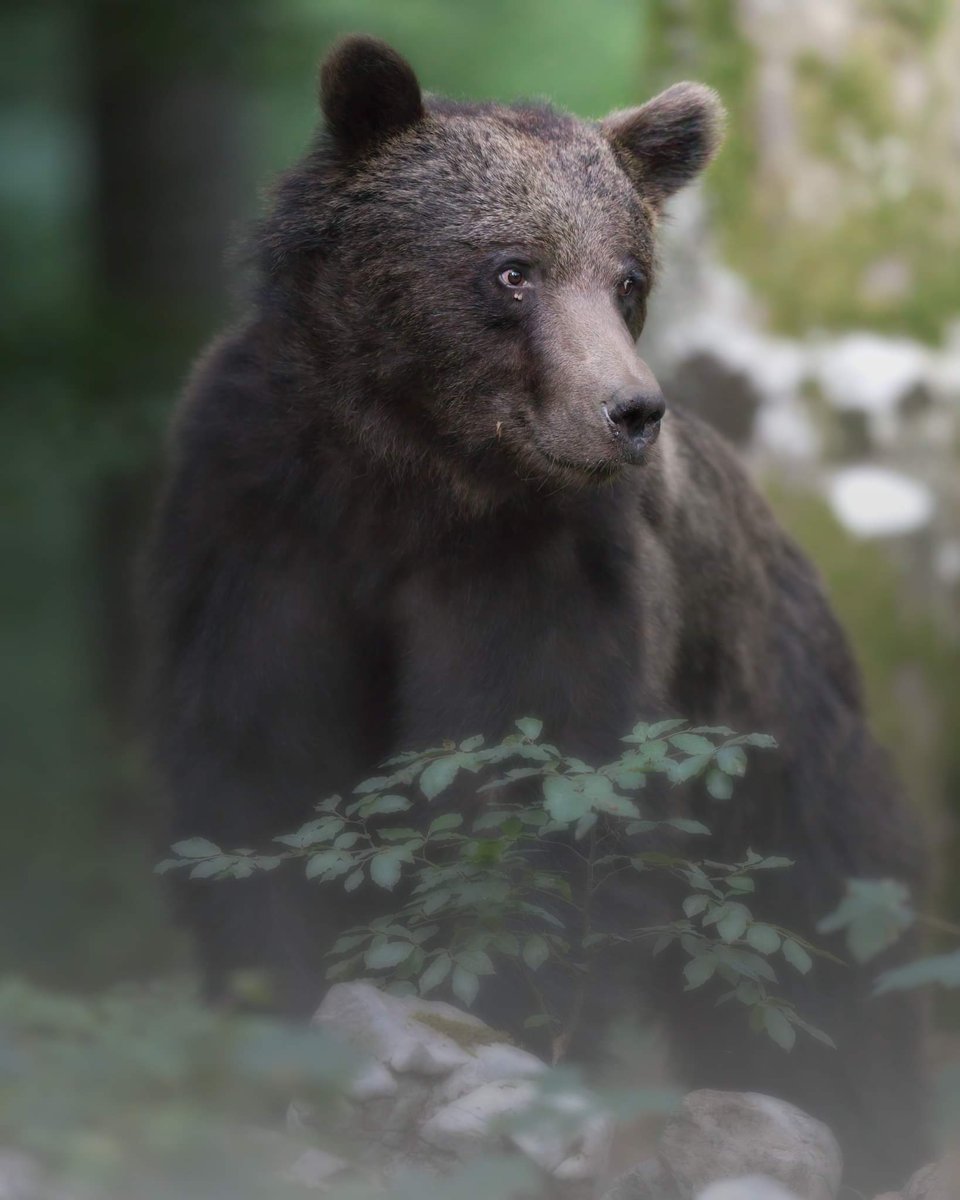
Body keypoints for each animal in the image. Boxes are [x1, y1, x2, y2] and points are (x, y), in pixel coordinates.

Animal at [148, 35, 929, 1192]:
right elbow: (259, 773)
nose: (629, 410)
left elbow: (529, 801)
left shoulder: (543, 573)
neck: (411, 474)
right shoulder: (262, 530)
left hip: (776, 747)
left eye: (628, 278)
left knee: (824, 958)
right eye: (511, 268)